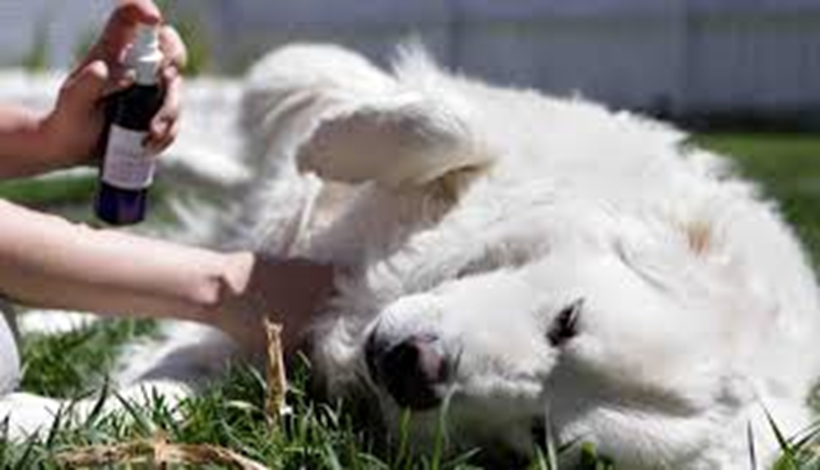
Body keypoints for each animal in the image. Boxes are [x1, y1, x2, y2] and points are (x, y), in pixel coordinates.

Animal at [1, 42, 820, 468]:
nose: (415, 370)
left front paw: (27, 414)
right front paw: (330, 142)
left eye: (540, 437)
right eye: (567, 319)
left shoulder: (256, 349)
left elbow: (149, 394)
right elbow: (445, 121)